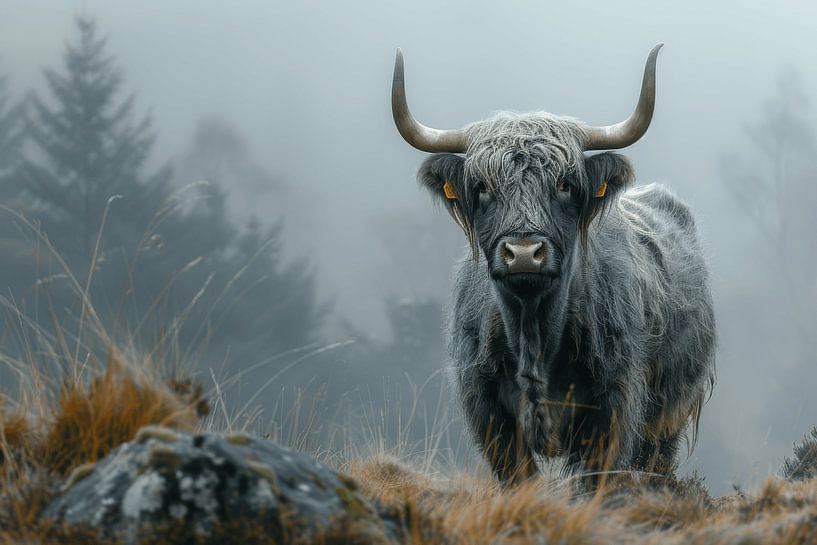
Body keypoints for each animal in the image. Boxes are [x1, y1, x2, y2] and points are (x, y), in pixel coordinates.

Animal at [391, 44, 716, 485]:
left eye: (564, 184)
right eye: (482, 187)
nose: (525, 252)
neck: (535, 336)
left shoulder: (614, 406)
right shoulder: (486, 407)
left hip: (671, 410)